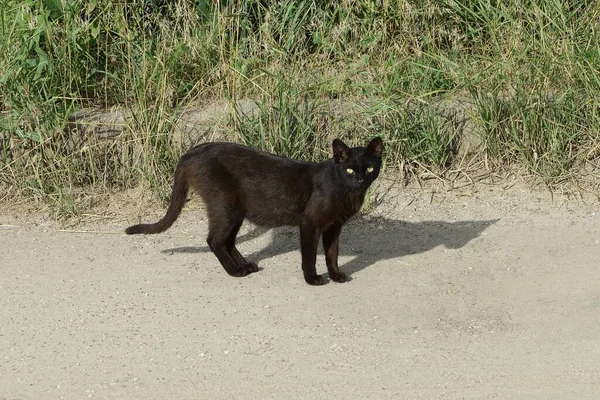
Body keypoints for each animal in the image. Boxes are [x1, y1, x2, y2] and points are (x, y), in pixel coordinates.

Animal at [126, 138, 384, 284]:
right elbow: (310, 256)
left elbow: (332, 253)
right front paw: (312, 279)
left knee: (227, 241)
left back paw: (245, 266)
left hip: (236, 211)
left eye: (369, 168)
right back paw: (235, 271)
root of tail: (192, 151)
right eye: (350, 170)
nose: (360, 181)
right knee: (215, 240)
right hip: (225, 206)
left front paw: (336, 276)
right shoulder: (310, 223)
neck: (345, 191)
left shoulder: (334, 226)